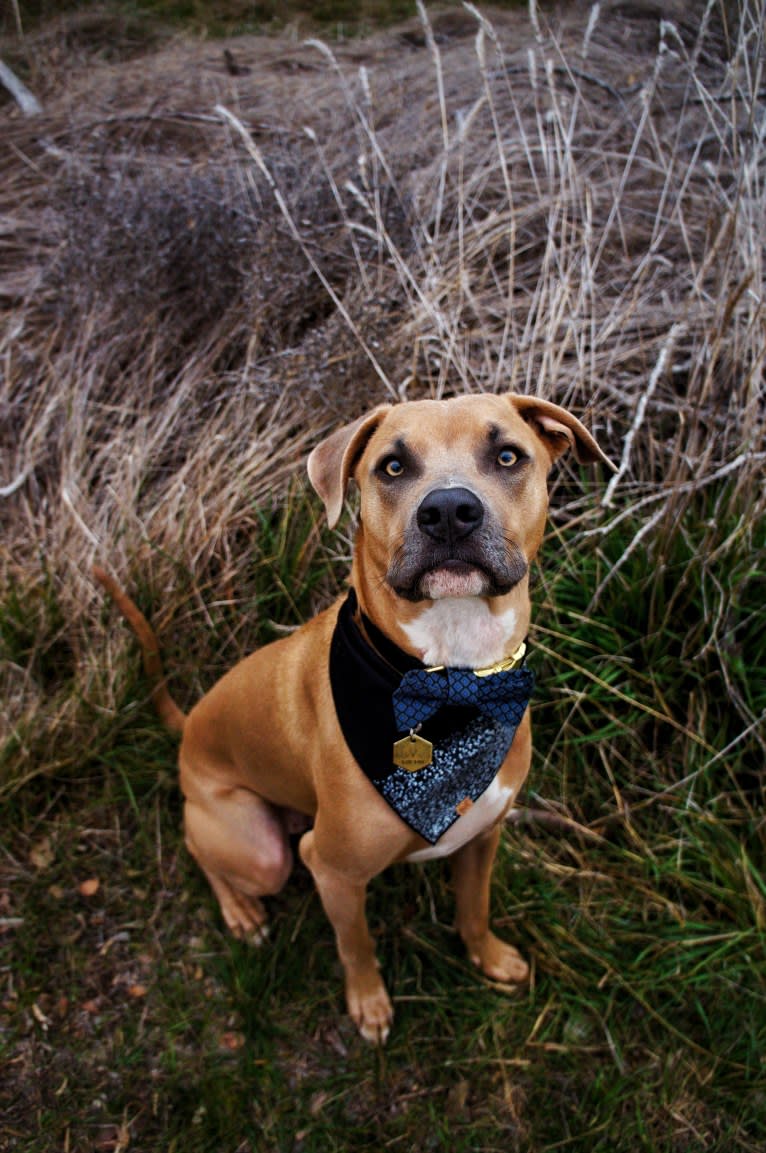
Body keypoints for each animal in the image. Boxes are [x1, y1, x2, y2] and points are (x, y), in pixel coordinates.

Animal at [95, 394, 609, 1046]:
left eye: (508, 456)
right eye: (392, 466)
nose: (448, 511)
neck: (451, 678)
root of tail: (190, 729)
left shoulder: (482, 836)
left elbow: (475, 908)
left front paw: (489, 957)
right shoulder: (333, 869)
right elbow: (356, 944)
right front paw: (368, 1004)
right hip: (262, 851)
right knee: (199, 847)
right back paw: (239, 911)